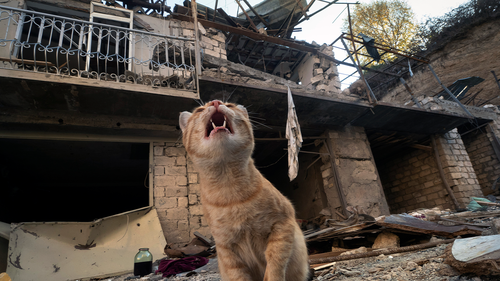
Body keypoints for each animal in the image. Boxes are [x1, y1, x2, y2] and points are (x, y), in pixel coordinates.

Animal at [178, 100, 310, 280]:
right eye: (199, 110)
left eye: (229, 105)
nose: (215, 102)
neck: (230, 187)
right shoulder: (227, 250)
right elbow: (238, 275)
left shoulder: (283, 224)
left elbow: (275, 263)